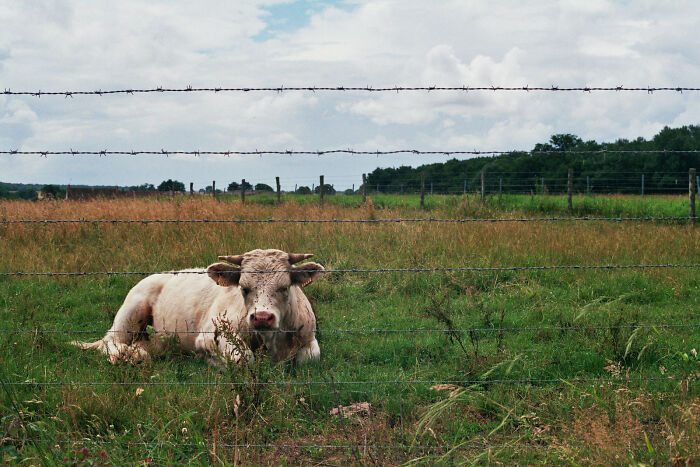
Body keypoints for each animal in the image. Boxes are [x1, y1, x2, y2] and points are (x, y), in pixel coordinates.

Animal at [75, 250, 326, 368]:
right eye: (244, 288)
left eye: (284, 287)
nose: (262, 317)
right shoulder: (210, 336)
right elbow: (245, 358)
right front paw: (212, 361)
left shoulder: (309, 339)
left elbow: (309, 357)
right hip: (130, 313)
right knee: (109, 342)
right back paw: (123, 355)